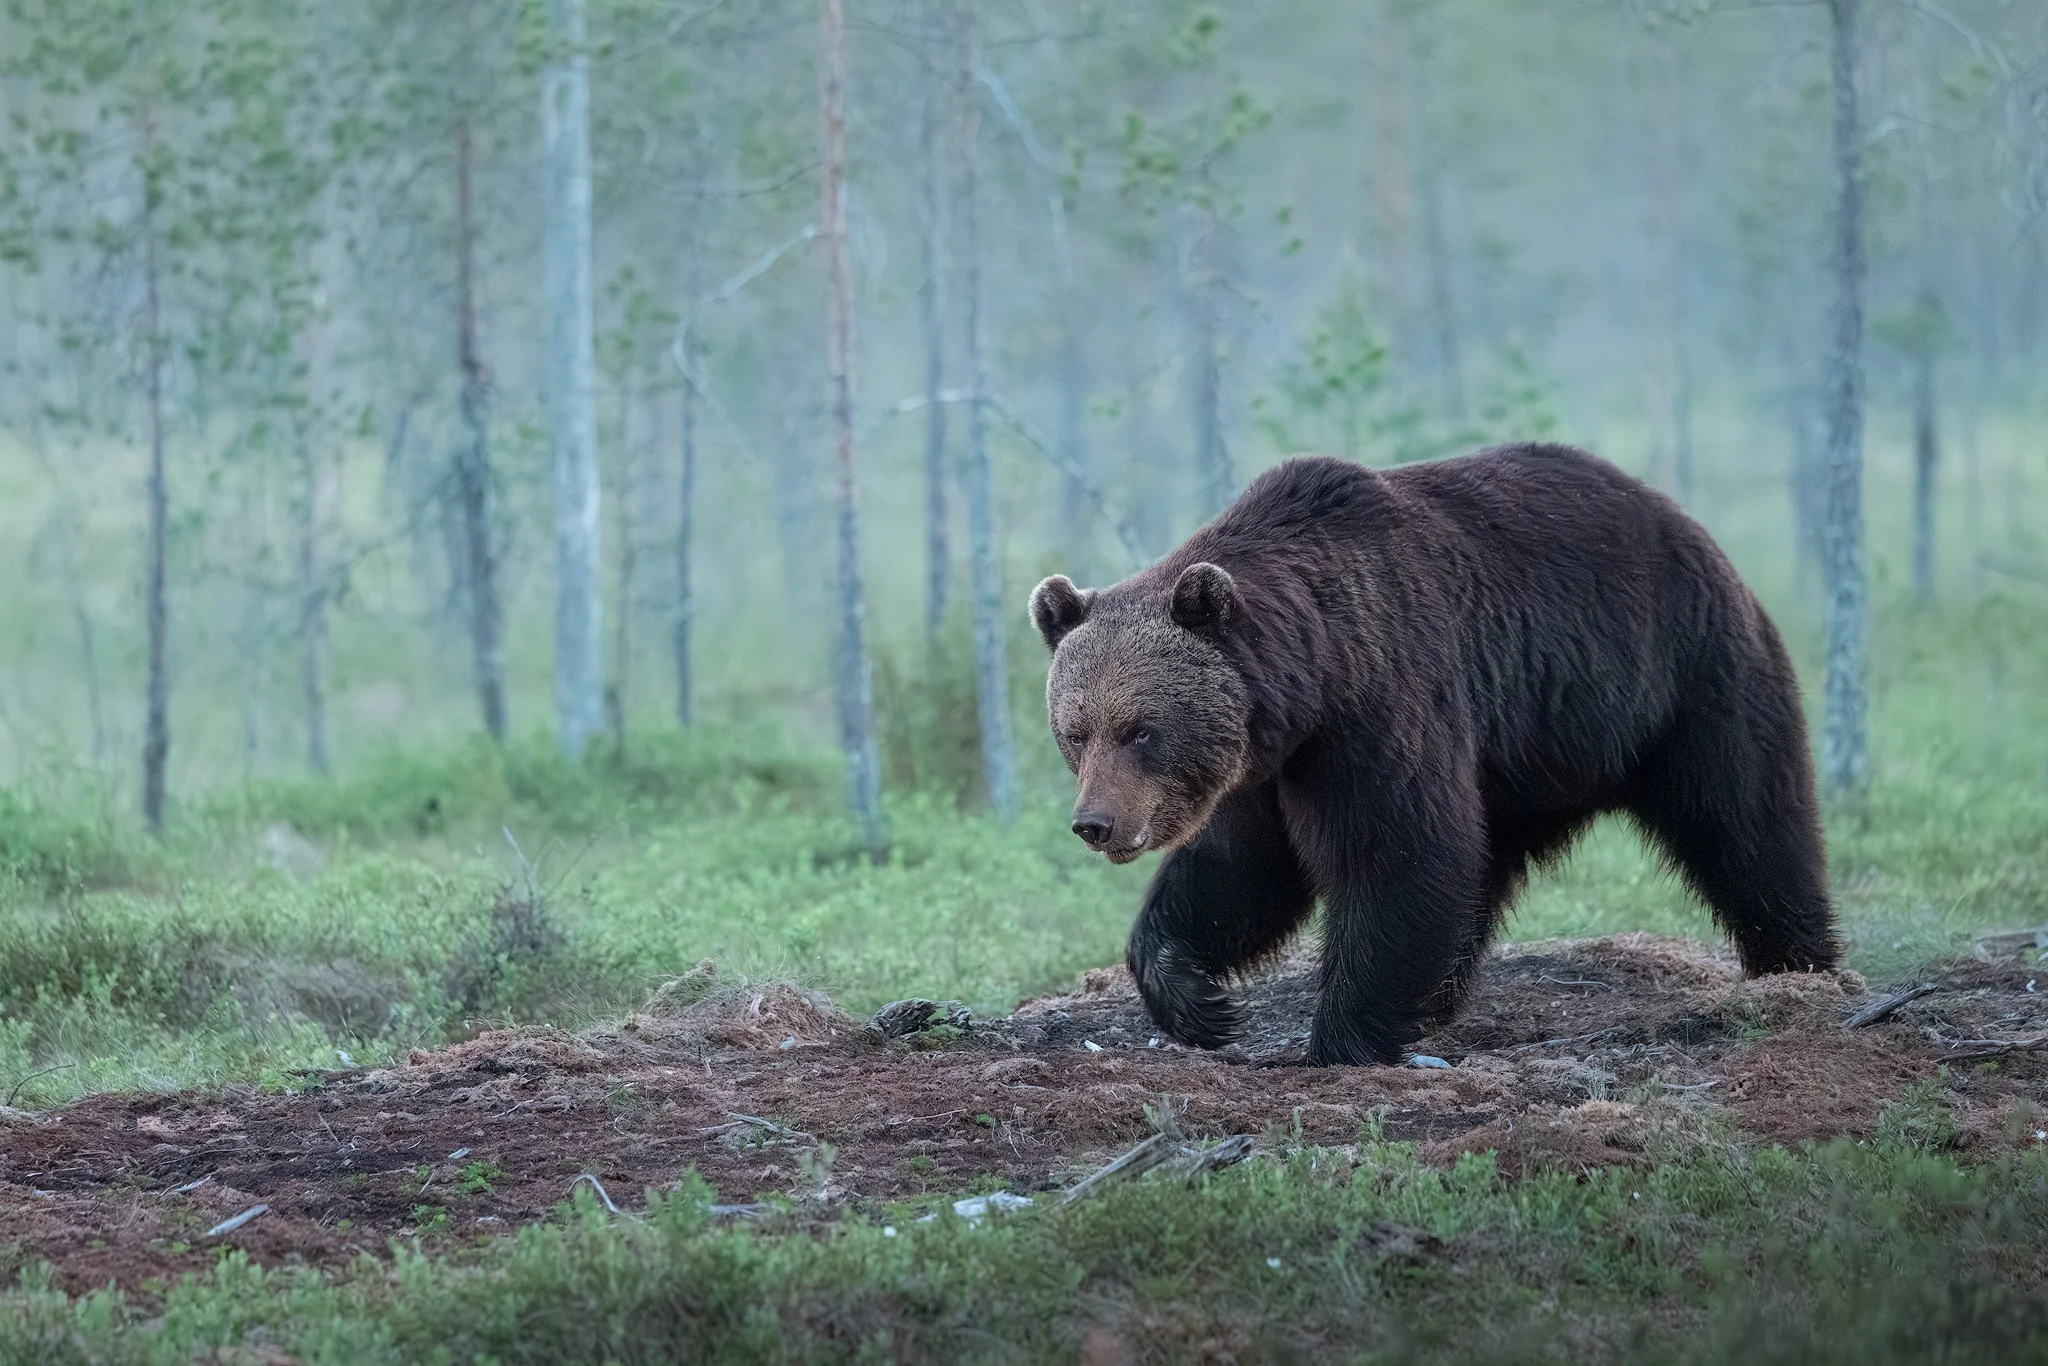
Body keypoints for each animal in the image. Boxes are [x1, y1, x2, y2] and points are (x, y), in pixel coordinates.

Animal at [1028, 444, 1839, 1066]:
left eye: (1140, 729)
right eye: (1075, 731)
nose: (1095, 823)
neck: (1310, 679)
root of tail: (1685, 522)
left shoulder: (1379, 708)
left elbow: (1399, 853)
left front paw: (1338, 1040)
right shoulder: (1265, 766)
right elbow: (1241, 870)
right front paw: (1199, 1003)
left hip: (1686, 679)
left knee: (1747, 823)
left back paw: (1799, 967)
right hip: (1524, 759)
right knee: (1482, 866)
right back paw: (1439, 998)